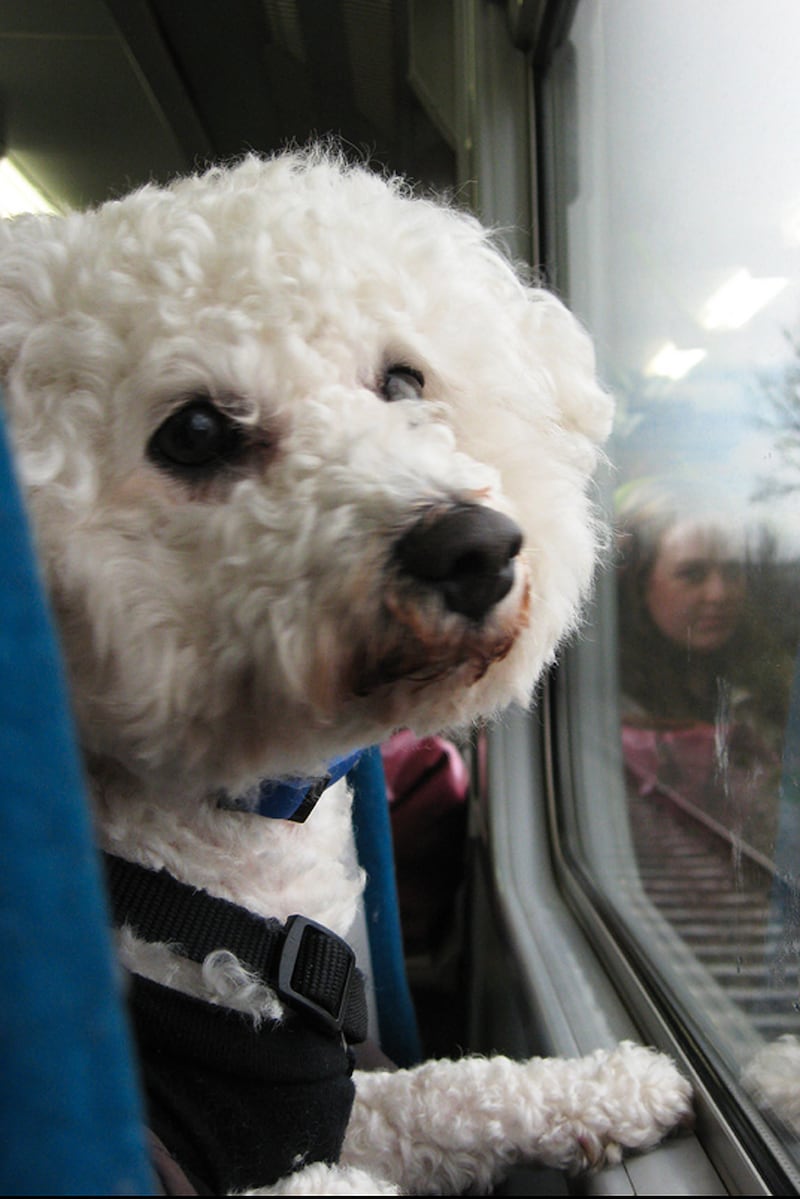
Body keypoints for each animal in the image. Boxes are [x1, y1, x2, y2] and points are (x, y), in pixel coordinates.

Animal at [0, 154, 690, 1194]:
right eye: (194, 432)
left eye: (404, 380)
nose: (471, 547)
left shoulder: (328, 1105)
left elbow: (459, 1089)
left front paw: (618, 1084)